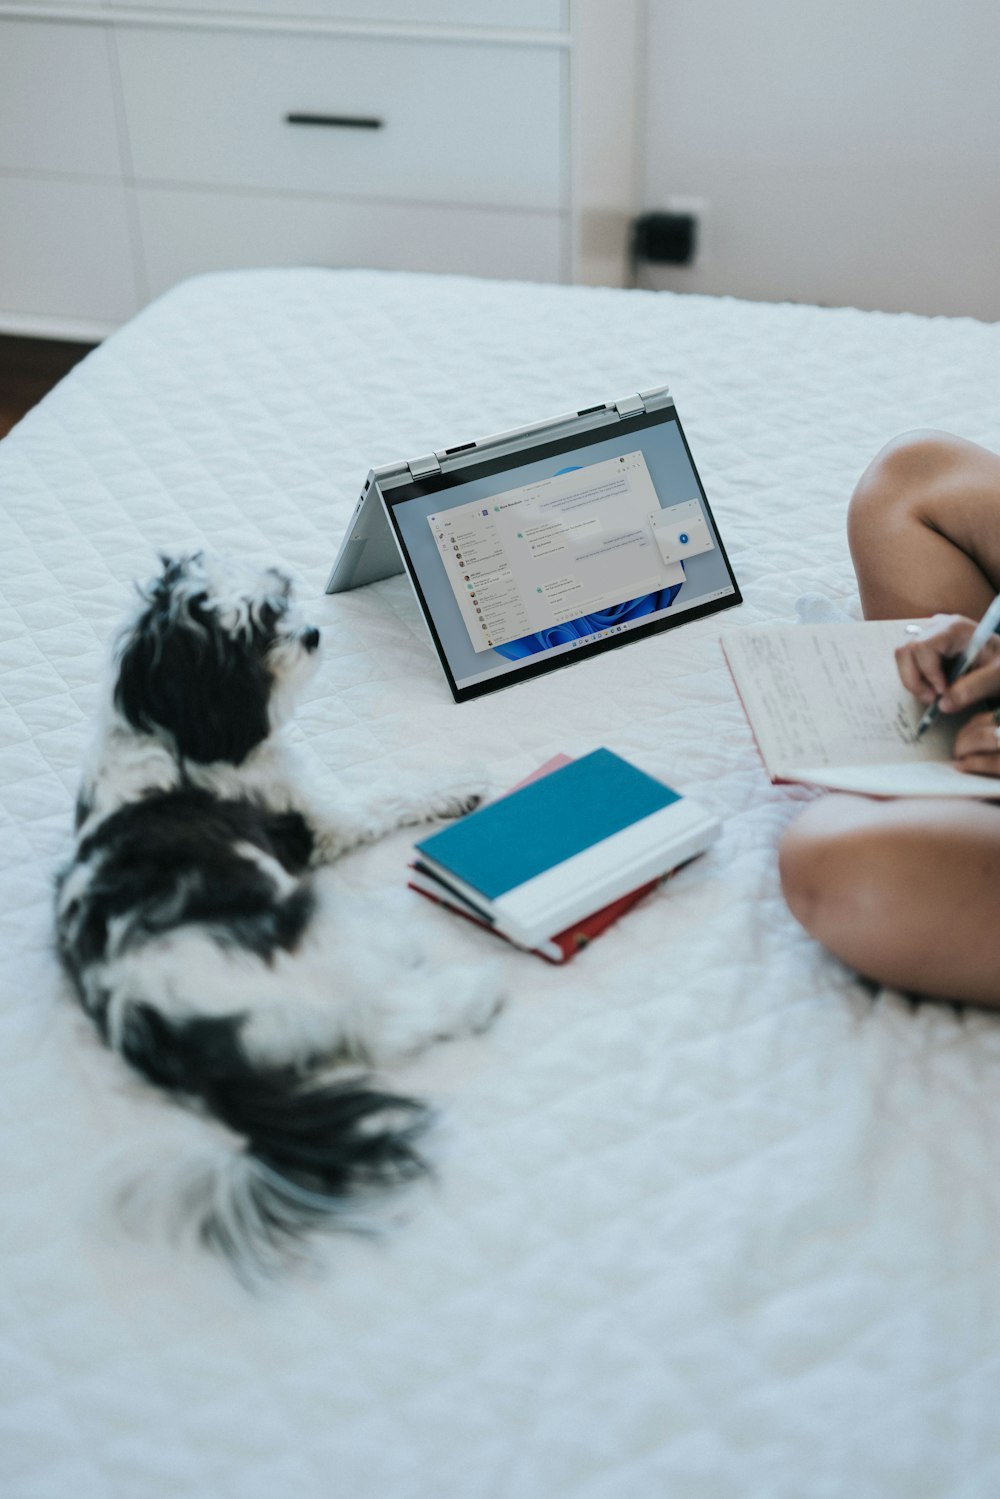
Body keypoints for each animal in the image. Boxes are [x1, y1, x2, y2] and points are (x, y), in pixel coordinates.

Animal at [54, 551, 503, 1277]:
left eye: (277, 602)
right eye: (251, 638)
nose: (313, 633)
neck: (165, 732)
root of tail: (162, 1025)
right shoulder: (319, 820)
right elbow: (389, 796)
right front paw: (458, 784)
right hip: (334, 930)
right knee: (384, 1025)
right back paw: (476, 989)